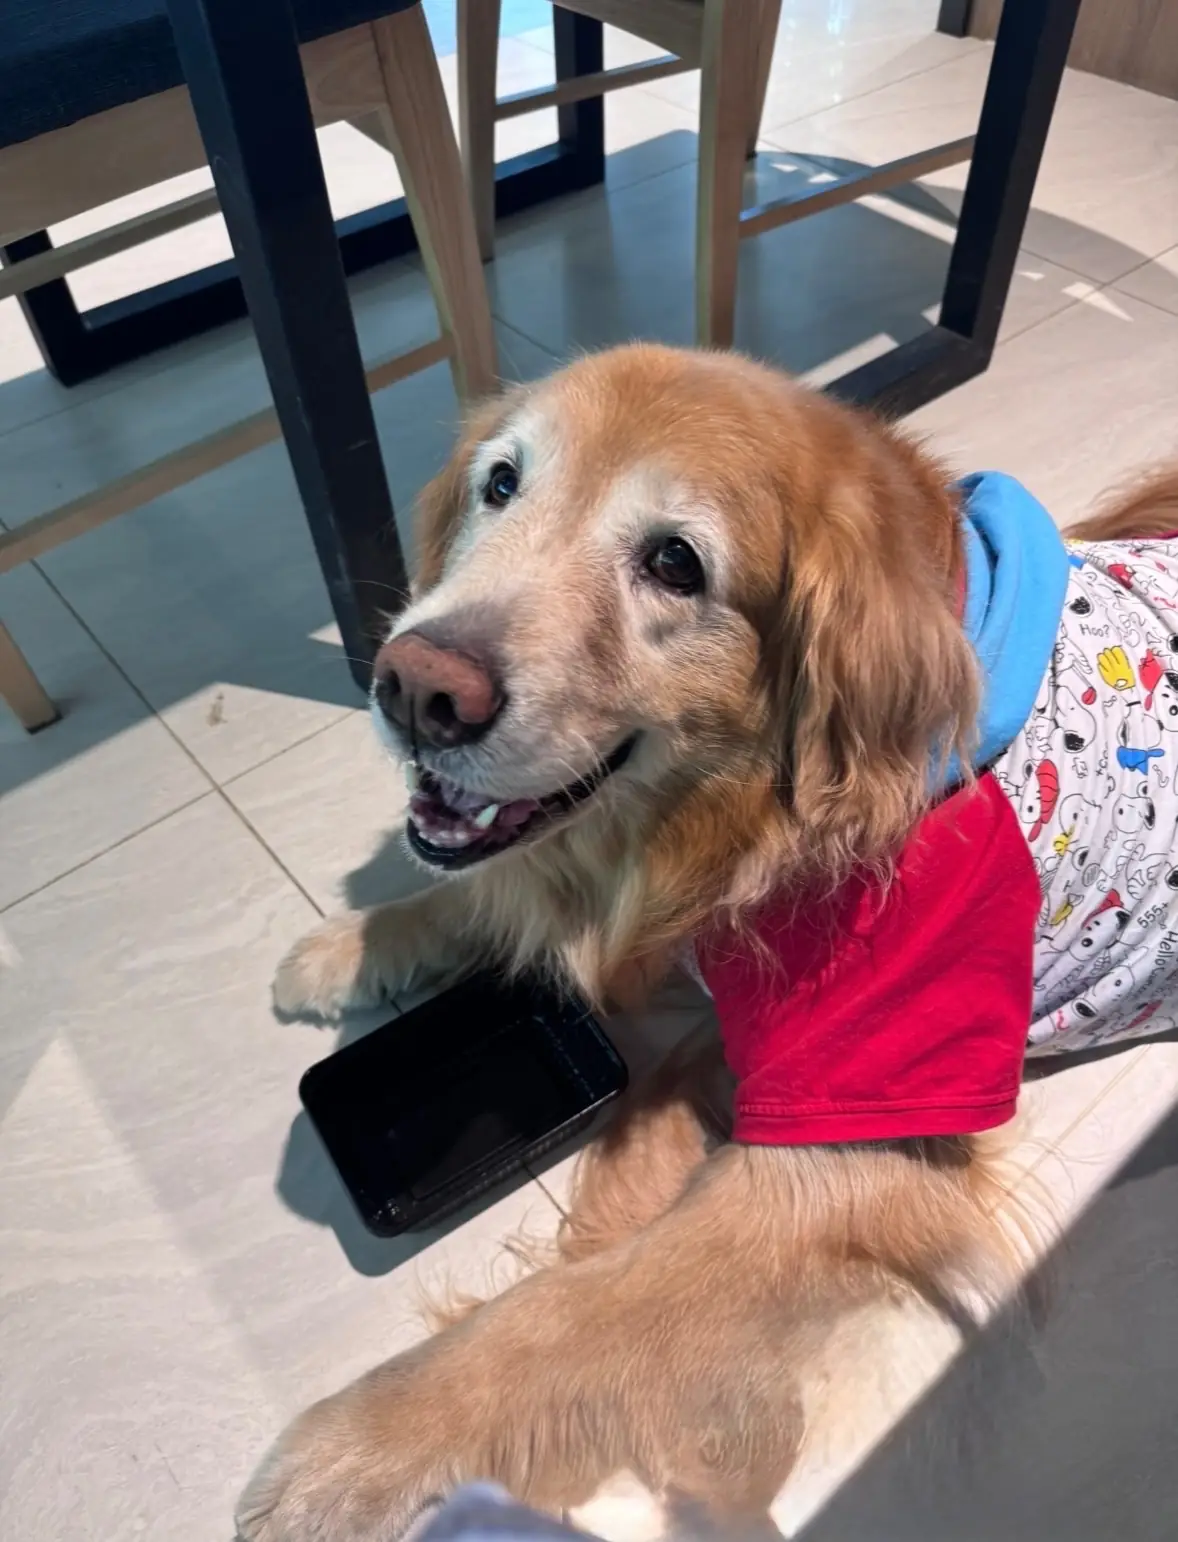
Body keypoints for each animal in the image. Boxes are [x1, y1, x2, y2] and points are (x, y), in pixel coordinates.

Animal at [238, 344, 1178, 1541]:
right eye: (501, 483)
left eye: (675, 564)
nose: (413, 686)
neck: (748, 818)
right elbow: (497, 882)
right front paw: (357, 945)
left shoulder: (843, 1151)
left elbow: (567, 1309)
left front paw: (347, 1452)